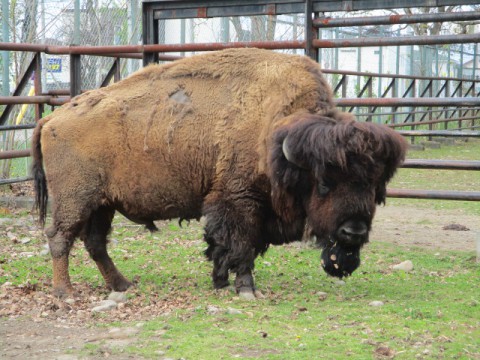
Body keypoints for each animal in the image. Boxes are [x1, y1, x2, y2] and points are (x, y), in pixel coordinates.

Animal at [31, 47, 406, 298]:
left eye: (375, 187)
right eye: (325, 183)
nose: (354, 231)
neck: (275, 134)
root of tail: (52, 118)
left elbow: (222, 246)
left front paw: (220, 281)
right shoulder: (239, 201)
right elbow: (240, 245)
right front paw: (244, 288)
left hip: (102, 204)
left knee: (95, 243)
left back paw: (122, 284)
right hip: (75, 200)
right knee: (60, 238)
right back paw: (64, 293)